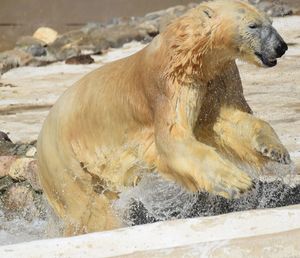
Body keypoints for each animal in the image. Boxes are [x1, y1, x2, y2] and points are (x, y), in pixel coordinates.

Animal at [36, 0, 290, 235]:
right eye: (253, 25)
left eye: (271, 22)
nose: (282, 46)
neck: (190, 51)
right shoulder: (170, 83)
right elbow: (173, 138)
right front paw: (238, 181)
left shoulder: (216, 77)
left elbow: (228, 122)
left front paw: (275, 150)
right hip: (66, 163)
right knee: (91, 209)